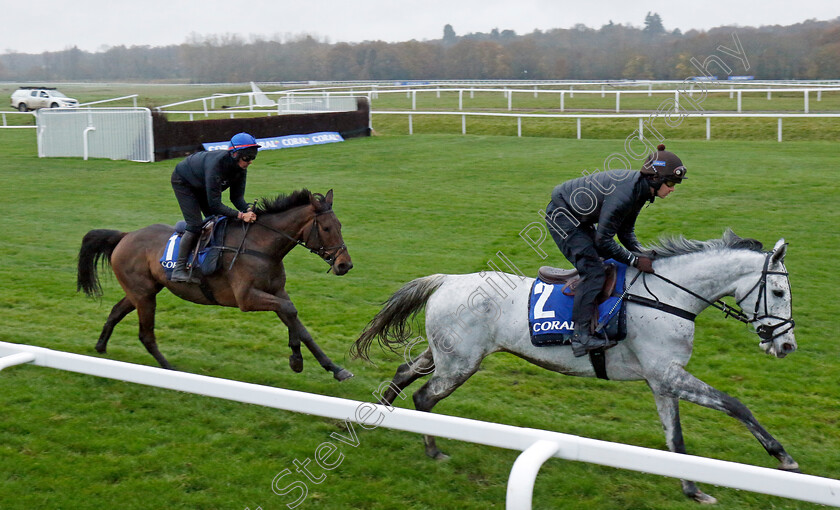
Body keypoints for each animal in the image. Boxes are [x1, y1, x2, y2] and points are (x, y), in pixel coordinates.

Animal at [77, 189, 352, 380]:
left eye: (340, 225)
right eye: (326, 228)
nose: (344, 265)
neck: (261, 247)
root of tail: (125, 236)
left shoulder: (276, 291)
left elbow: (298, 323)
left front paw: (334, 368)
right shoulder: (247, 298)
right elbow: (290, 311)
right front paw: (296, 359)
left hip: (143, 290)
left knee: (116, 312)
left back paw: (101, 346)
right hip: (144, 295)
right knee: (146, 334)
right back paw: (170, 369)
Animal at [354, 233, 800, 504]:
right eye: (779, 291)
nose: (786, 345)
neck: (668, 297)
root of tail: (447, 281)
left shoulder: (663, 380)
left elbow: (675, 439)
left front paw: (693, 489)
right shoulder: (668, 375)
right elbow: (735, 404)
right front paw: (783, 457)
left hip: (446, 355)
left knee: (403, 374)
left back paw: (373, 419)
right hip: (460, 364)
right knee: (423, 396)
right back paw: (432, 448)